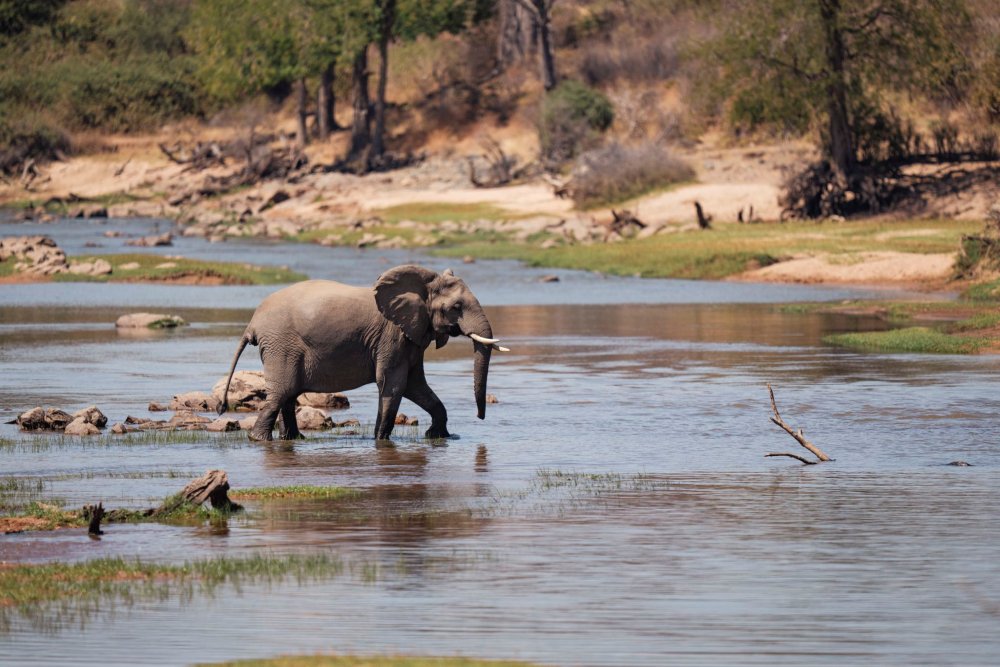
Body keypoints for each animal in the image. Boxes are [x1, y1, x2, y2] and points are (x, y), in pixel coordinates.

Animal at [218, 264, 507, 442]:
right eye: (456, 307)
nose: (480, 417)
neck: (423, 283)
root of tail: (253, 322)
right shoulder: (392, 335)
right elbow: (393, 384)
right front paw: (380, 440)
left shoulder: (411, 337)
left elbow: (415, 385)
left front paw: (438, 436)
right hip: (282, 345)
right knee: (281, 392)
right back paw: (260, 440)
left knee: (288, 395)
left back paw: (294, 439)